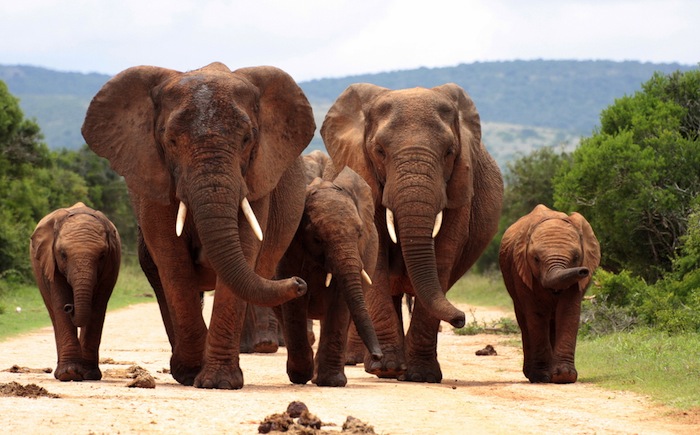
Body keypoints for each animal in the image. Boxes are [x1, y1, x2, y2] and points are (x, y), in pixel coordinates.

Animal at [80, 60, 318, 388]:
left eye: (247, 139)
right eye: (171, 141)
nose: (300, 283)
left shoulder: (256, 177)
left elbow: (245, 250)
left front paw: (218, 382)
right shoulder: (153, 177)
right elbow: (172, 260)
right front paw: (193, 373)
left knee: (264, 277)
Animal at [274, 157, 382, 388]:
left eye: (360, 233)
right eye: (317, 239)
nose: (378, 356)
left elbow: (340, 301)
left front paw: (331, 381)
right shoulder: (289, 250)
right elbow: (294, 302)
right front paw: (301, 376)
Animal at [322, 83, 504, 384]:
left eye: (449, 152)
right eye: (379, 151)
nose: (461, 319)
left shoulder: (459, 188)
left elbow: (443, 255)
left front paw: (421, 376)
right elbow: (377, 258)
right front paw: (387, 369)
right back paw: (378, 365)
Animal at [498, 204, 600, 384]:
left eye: (576, 257)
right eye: (536, 259)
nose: (583, 271)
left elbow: (568, 311)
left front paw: (564, 376)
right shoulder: (522, 271)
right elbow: (536, 314)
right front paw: (542, 377)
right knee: (525, 321)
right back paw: (532, 375)